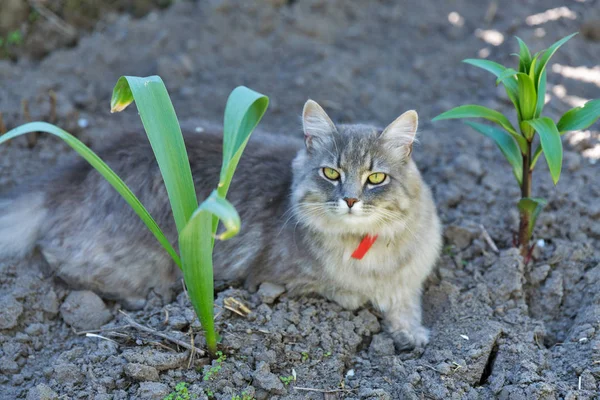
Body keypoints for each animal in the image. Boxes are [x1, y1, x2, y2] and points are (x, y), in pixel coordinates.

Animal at [0, 101, 440, 350]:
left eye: (376, 178)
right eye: (331, 173)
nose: (350, 200)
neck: (367, 247)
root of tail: (71, 174)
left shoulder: (410, 278)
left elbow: (407, 306)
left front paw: (411, 334)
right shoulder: (283, 277)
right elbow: (348, 292)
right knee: (58, 260)